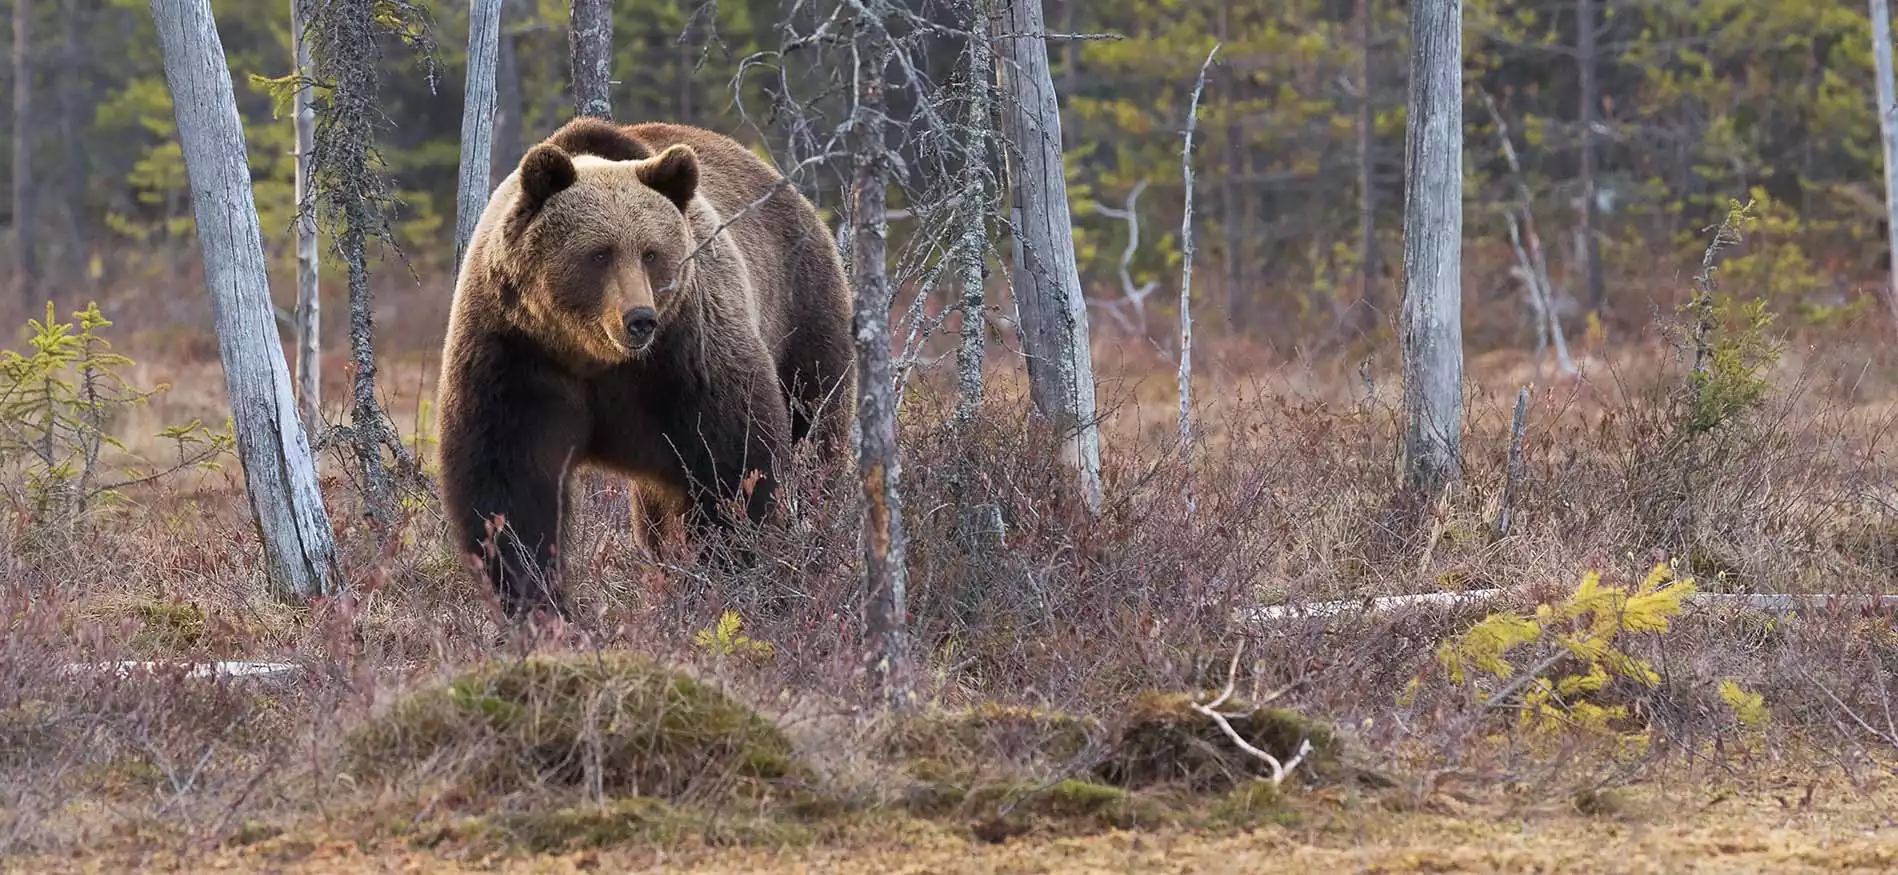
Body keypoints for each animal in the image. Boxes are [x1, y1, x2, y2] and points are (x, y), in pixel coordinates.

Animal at [436, 115, 854, 618]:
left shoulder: (686, 355)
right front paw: (537, 602)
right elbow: (509, 486)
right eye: (599, 253)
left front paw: (720, 574)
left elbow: (733, 463)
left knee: (814, 435)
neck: (594, 355)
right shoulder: (515, 354)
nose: (639, 318)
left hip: (802, 314)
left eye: (652, 252)